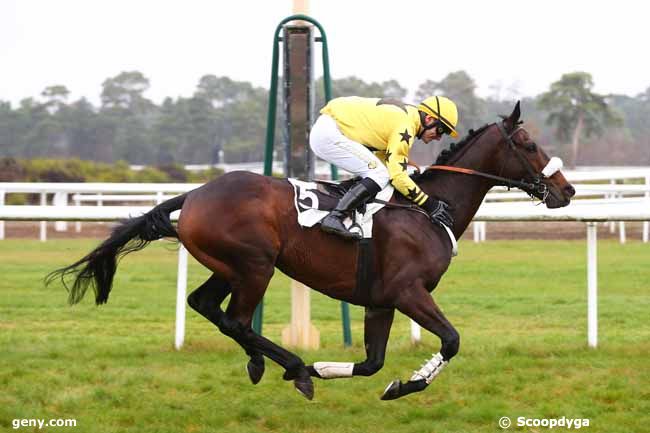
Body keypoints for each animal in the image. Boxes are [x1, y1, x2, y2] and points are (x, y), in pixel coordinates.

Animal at [49, 102, 572, 402]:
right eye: (529, 143)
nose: (565, 191)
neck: (424, 212)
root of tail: (194, 194)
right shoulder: (409, 293)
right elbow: (450, 341)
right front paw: (405, 385)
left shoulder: (381, 301)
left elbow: (372, 363)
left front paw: (343, 371)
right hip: (256, 266)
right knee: (236, 319)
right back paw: (294, 368)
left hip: (230, 266)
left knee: (206, 305)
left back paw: (269, 364)